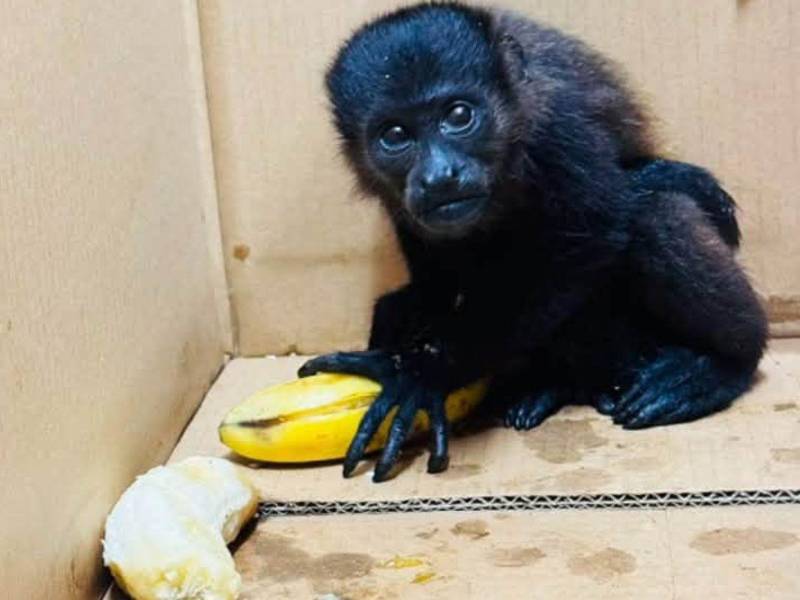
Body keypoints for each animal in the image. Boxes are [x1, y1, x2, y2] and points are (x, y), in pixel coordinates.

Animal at [298, 2, 768, 482]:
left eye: (459, 115)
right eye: (394, 135)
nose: (440, 175)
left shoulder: (560, 128)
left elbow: (587, 241)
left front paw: (424, 372)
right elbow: (432, 276)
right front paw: (415, 337)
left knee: (655, 213)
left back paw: (722, 365)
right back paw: (548, 387)